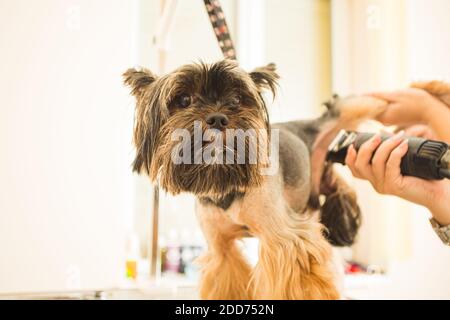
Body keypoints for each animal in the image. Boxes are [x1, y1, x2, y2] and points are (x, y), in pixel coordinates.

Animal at [124, 60, 450, 300]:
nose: (218, 117)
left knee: (390, 97)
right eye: (183, 100)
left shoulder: (284, 239)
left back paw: (432, 90)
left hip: (353, 108)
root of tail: (313, 125)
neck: (225, 183)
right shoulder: (221, 251)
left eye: (237, 99)